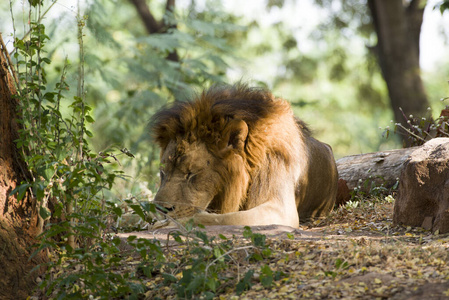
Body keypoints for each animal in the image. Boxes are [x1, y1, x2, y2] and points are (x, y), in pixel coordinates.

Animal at [150, 83, 336, 229]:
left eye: (192, 174)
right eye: (163, 173)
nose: (160, 210)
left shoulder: (281, 209)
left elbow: (222, 218)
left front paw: (170, 223)